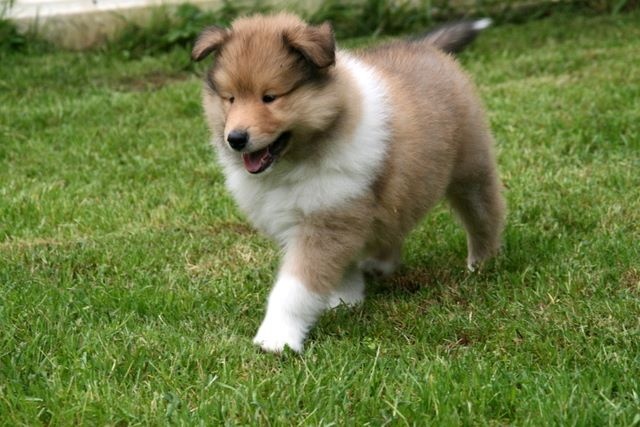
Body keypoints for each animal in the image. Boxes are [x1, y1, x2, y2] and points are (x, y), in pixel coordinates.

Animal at [191, 13, 505, 353]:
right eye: (230, 98)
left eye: (270, 97)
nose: (235, 139)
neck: (295, 162)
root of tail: (426, 47)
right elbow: (343, 268)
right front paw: (346, 300)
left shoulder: (328, 220)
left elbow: (294, 289)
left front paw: (277, 338)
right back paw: (381, 265)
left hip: (470, 169)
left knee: (484, 213)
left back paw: (482, 263)